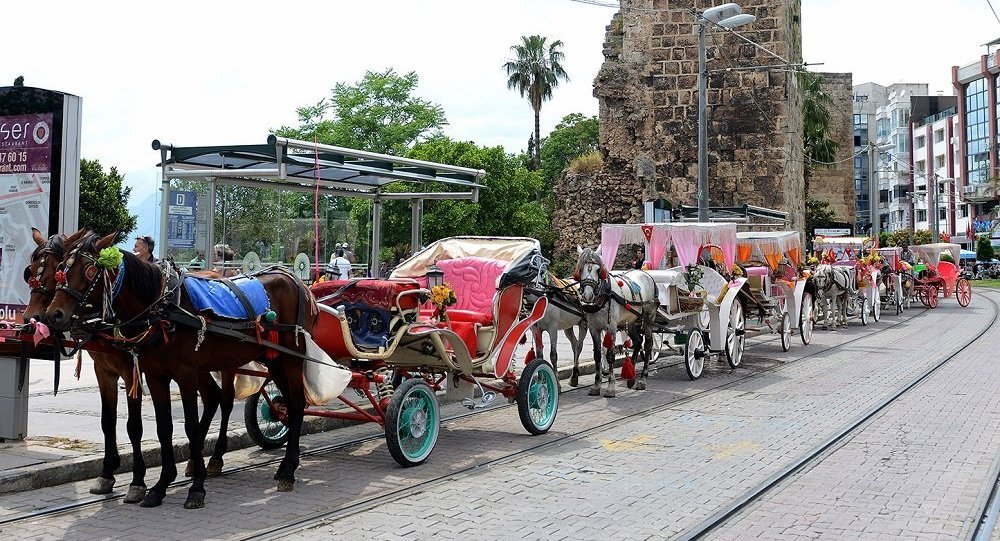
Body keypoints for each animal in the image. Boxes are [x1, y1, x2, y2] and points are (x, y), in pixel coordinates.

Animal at [23, 228, 238, 502]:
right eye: (30, 269)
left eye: (55, 268)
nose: (36, 316)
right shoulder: (104, 371)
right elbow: (108, 421)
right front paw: (107, 473)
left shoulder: (131, 371)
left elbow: (134, 426)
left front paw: (137, 481)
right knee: (212, 396)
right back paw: (194, 460)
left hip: (226, 361)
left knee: (227, 400)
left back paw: (216, 457)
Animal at [44, 231, 312, 506]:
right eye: (62, 267)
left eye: (88, 271)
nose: (53, 314)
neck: (162, 309)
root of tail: (293, 279)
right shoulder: (154, 375)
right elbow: (164, 428)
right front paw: (160, 486)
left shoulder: (184, 374)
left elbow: (189, 427)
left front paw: (196, 489)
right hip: (273, 359)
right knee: (283, 403)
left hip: (291, 358)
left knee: (292, 403)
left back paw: (287, 469)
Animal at [576, 247, 660, 394]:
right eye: (580, 269)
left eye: (598, 270)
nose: (587, 295)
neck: (604, 295)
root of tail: (646, 274)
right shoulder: (594, 328)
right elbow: (597, 355)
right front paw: (596, 386)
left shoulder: (612, 327)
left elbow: (610, 355)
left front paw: (610, 387)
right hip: (631, 320)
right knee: (637, 342)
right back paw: (631, 378)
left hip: (648, 319)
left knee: (648, 345)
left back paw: (642, 379)